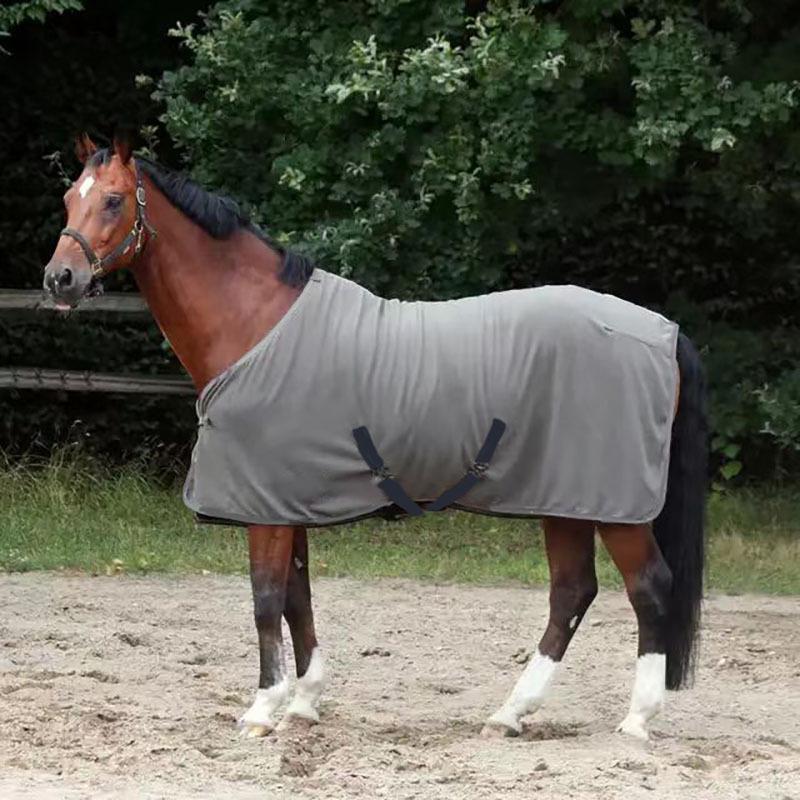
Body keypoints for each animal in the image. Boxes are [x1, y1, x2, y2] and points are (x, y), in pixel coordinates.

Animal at [43, 134, 707, 742]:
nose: (59, 278)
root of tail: (664, 332)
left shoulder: (265, 507)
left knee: (648, 588)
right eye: (69, 198)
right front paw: (305, 703)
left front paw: (262, 710)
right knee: (572, 592)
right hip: (564, 500)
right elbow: (297, 596)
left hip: (614, 507)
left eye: (113, 200)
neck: (255, 323)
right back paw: (509, 713)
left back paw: (636, 720)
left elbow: (265, 598)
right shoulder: (286, 499)